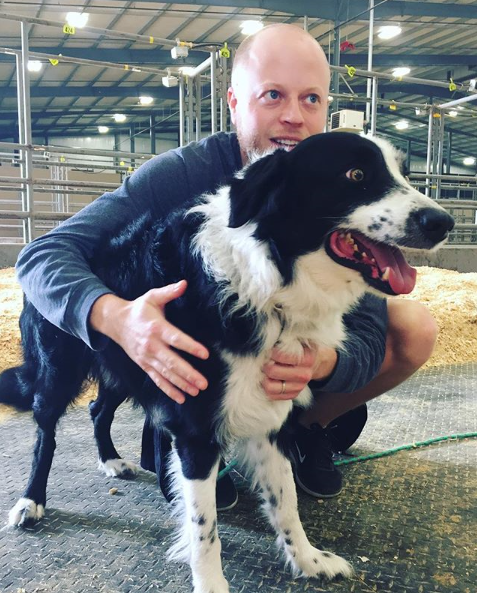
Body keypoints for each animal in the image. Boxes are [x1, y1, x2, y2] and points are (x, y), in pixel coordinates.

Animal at [0, 132, 454, 593]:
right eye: (356, 174)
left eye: (405, 173)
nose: (444, 222)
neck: (270, 284)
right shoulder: (195, 431)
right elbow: (205, 530)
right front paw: (212, 583)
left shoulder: (272, 415)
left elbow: (286, 501)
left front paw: (308, 560)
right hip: (62, 371)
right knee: (45, 434)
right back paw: (31, 501)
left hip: (128, 365)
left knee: (97, 409)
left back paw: (110, 460)